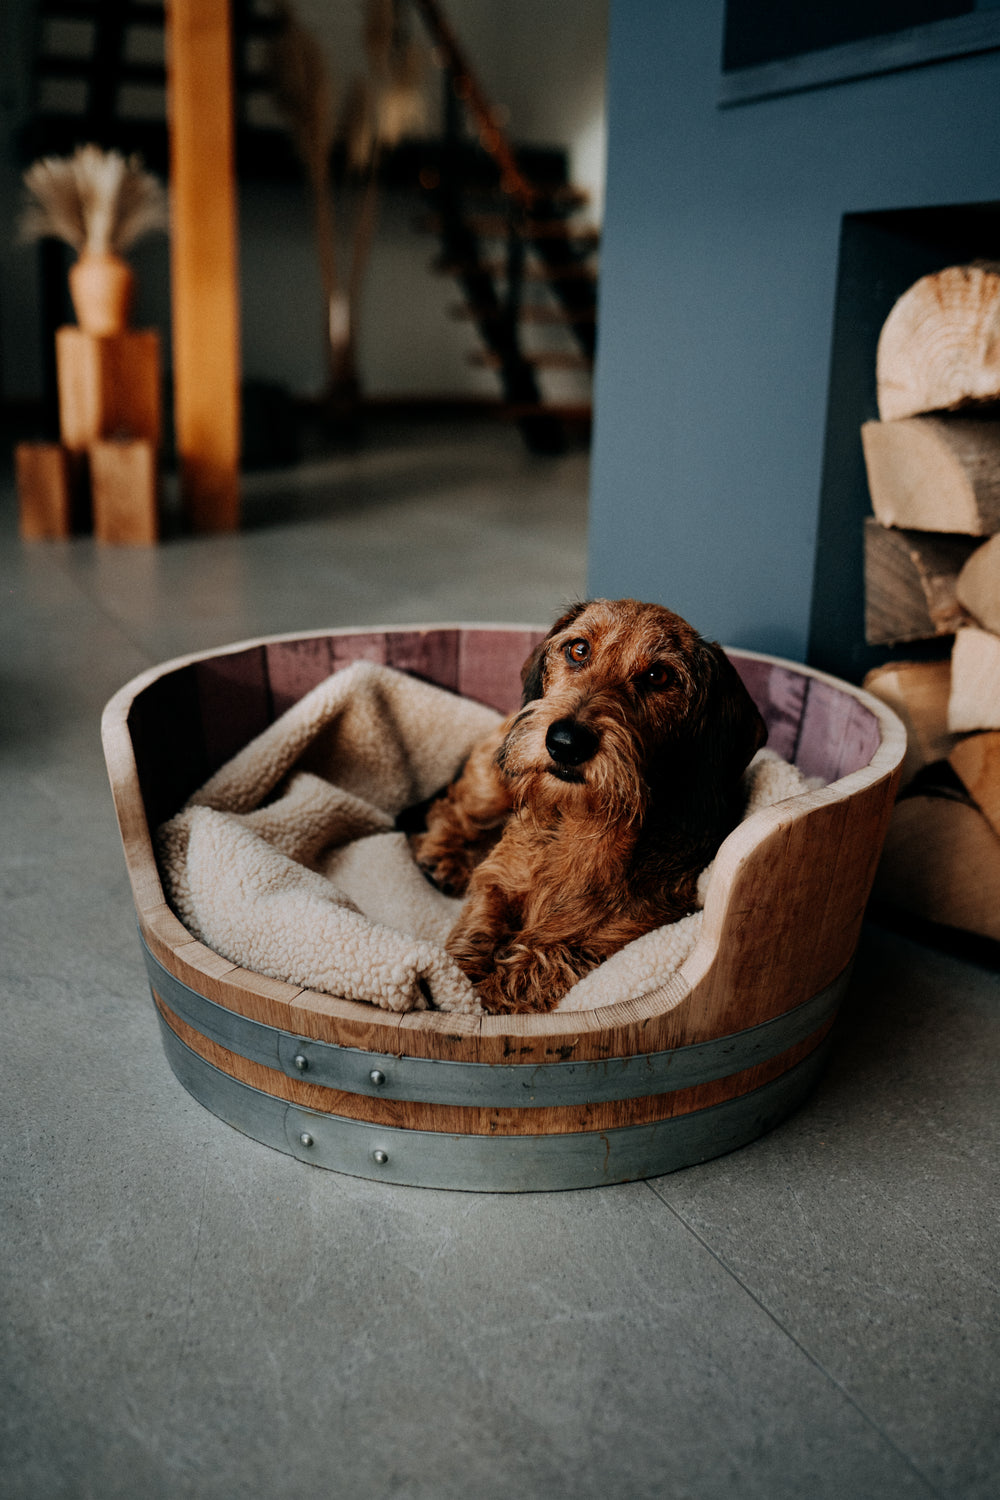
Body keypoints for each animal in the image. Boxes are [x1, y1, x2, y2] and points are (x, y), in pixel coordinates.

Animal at [413, 603, 767, 1014]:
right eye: (578, 650)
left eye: (659, 675)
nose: (566, 742)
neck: (582, 822)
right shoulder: (498, 882)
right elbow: (479, 927)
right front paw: (458, 985)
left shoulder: (617, 937)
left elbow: (542, 962)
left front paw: (484, 996)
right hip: (496, 778)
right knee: (451, 808)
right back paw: (444, 856)